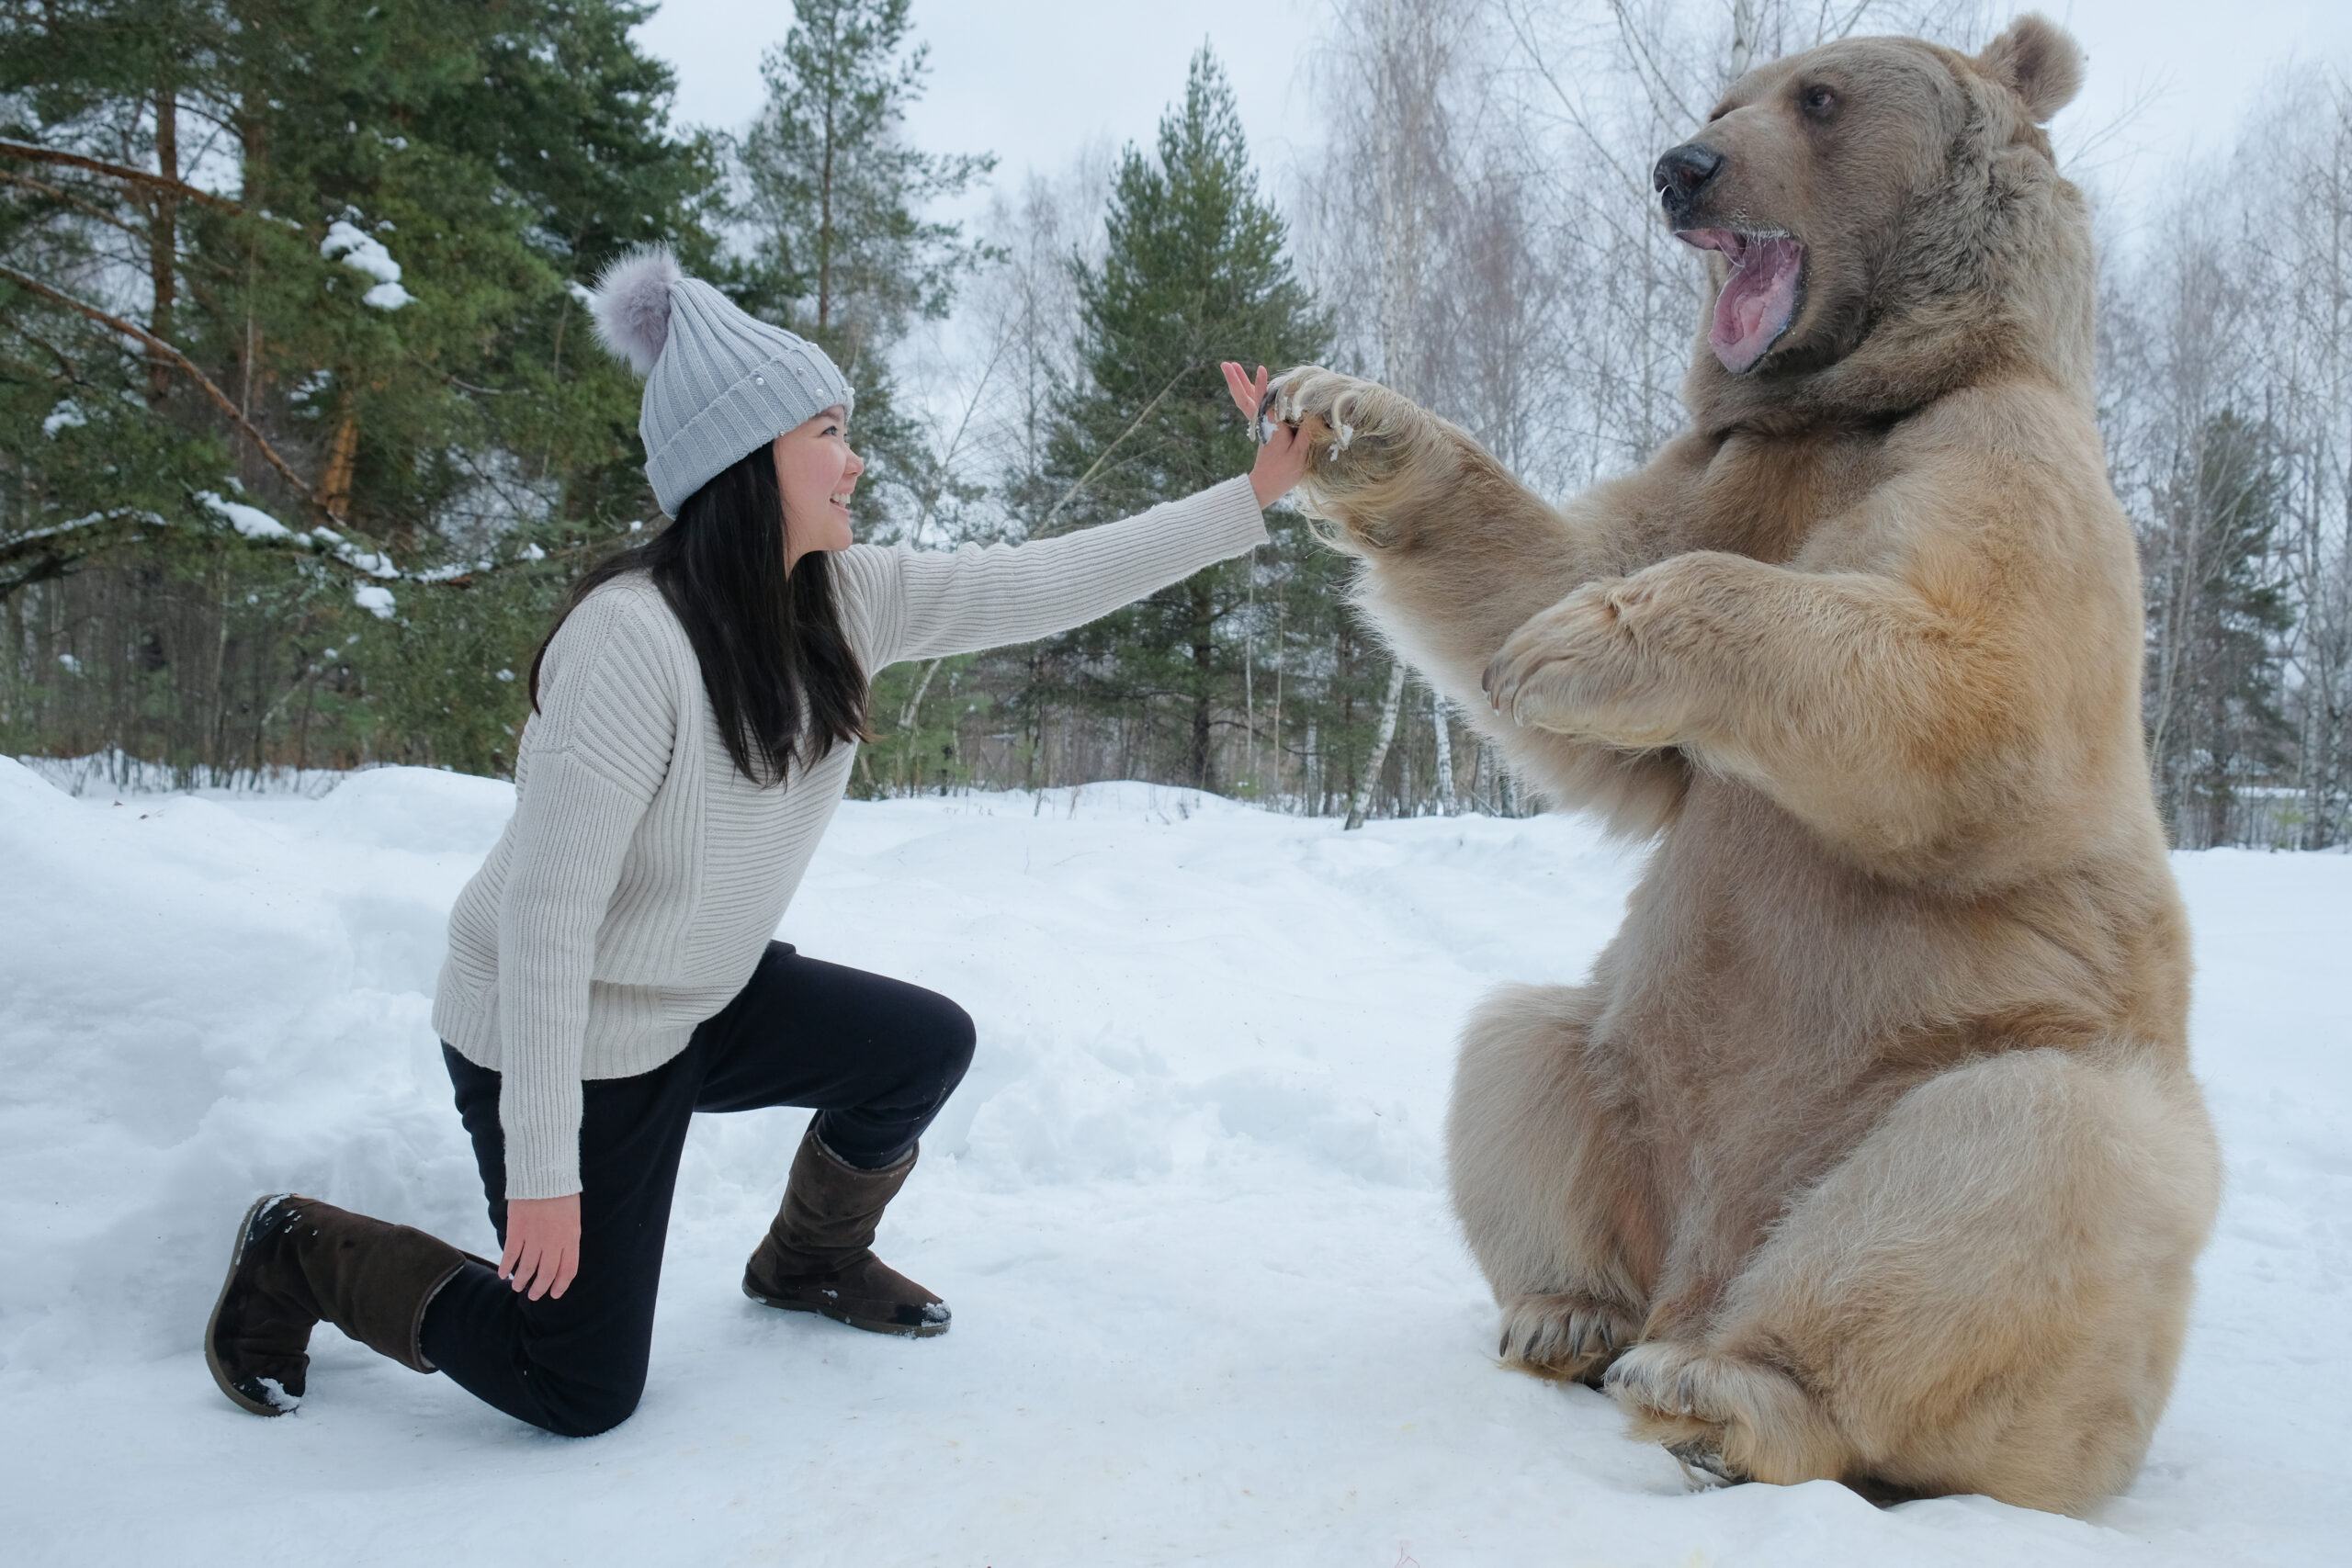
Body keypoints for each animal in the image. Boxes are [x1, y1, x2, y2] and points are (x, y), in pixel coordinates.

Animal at [1279, 8, 2211, 1504]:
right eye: (1724, 95)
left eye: (1818, 96)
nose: (1680, 167)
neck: (1854, 395)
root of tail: (1705, 1269)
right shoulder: (1731, 464)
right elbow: (1565, 580)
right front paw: (1355, 423)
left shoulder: (2005, 460)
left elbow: (1982, 687)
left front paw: (1583, 643)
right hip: (1632, 1087)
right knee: (1517, 1051)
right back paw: (1569, 1313)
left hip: (1954, 1107)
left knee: (2024, 1160)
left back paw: (1730, 1392)